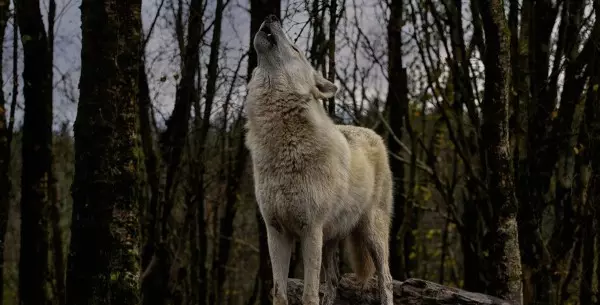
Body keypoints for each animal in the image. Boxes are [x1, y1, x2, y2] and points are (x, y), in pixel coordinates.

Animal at [244, 14, 394, 305]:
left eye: (295, 49)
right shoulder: (275, 231)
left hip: (371, 233)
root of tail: (373, 133)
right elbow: (280, 293)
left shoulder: (310, 230)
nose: (272, 17)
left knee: (386, 278)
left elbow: (309, 293)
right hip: (330, 238)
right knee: (334, 281)